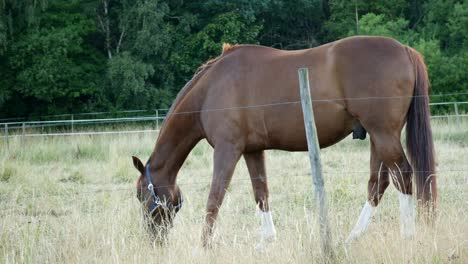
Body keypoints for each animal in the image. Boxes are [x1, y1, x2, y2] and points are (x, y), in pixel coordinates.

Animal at [133, 35, 438, 248]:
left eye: (140, 195)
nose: (153, 241)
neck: (210, 89)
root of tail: (404, 50)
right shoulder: (253, 151)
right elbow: (261, 194)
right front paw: (265, 241)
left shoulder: (227, 150)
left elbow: (214, 198)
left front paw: (204, 246)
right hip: (377, 136)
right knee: (379, 184)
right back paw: (352, 238)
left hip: (383, 134)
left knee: (404, 176)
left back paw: (407, 236)